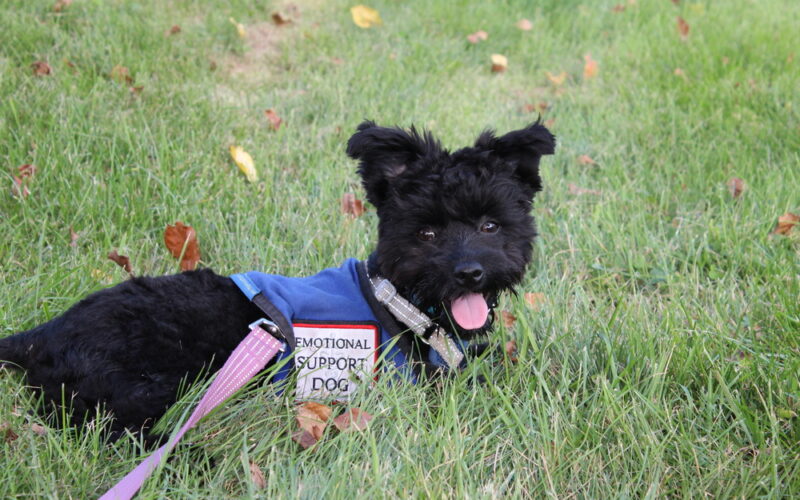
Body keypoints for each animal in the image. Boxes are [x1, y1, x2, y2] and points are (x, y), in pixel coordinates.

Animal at [0, 120, 552, 438]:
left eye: (490, 225)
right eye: (428, 232)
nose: (469, 272)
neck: (400, 304)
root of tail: (37, 338)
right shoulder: (405, 388)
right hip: (142, 388)